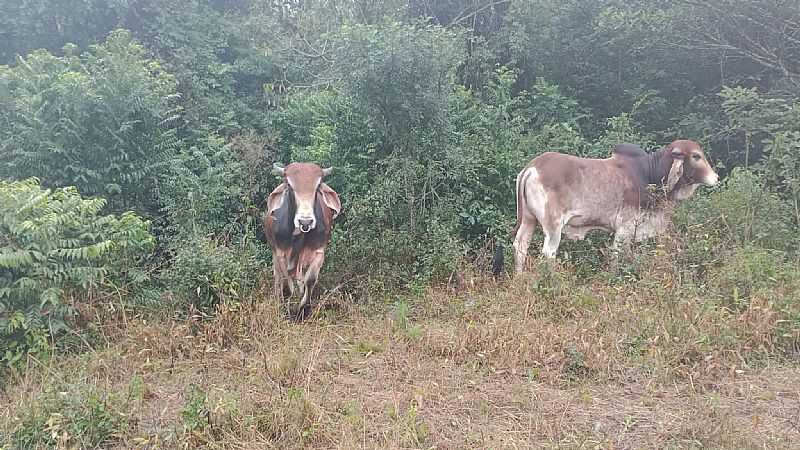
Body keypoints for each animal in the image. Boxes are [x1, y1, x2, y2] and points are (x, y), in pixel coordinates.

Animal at [262, 163, 338, 318]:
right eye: (289, 185)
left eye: (318, 185)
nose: (305, 221)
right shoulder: (280, 253)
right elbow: (286, 284)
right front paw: (284, 309)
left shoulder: (319, 251)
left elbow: (310, 280)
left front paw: (304, 310)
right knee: (278, 276)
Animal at [512, 138, 720, 270]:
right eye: (696, 156)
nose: (716, 177)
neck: (648, 174)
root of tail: (532, 167)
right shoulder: (624, 229)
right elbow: (617, 258)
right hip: (553, 226)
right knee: (549, 253)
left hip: (529, 220)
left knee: (520, 246)